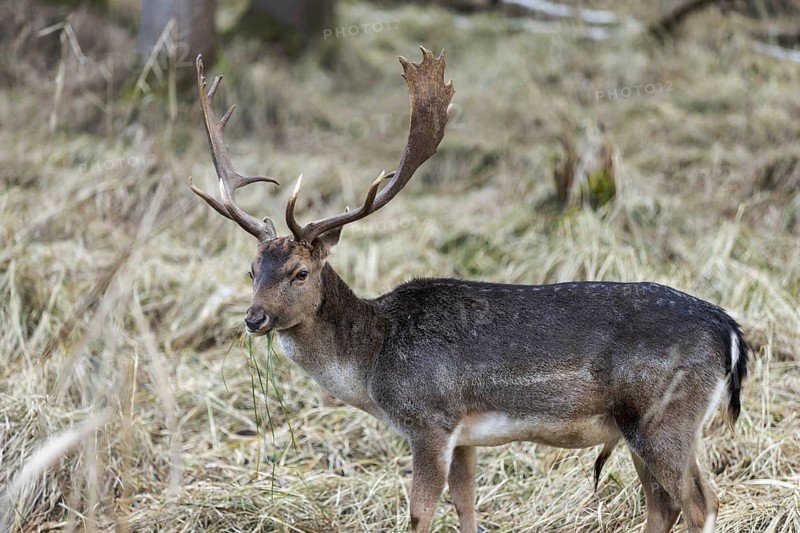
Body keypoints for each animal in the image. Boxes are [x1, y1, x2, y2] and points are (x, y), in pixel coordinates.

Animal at [189, 48, 748, 533]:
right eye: (251, 269)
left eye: (300, 272)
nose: (253, 318)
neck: (371, 362)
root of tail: (730, 330)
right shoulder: (464, 436)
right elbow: (465, 507)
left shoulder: (430, 419)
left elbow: (420, 514)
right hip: (638, 426)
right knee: (664, 505)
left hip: (663, 414)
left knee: (701, 502)